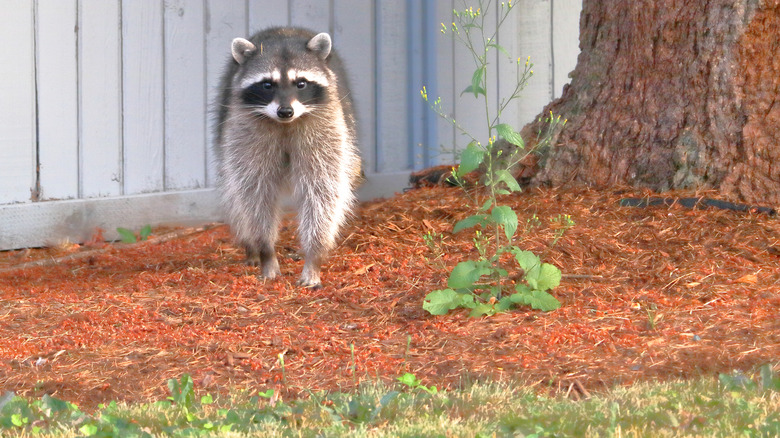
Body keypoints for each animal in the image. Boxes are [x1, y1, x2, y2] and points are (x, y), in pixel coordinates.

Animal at [213, 26, 360, 288]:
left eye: (300, 83)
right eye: (267, 84)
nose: (285, 111)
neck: (285, 124)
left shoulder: (326, 127)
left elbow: (322, 190)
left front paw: (314, 256)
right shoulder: (245, 131)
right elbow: (254, 192)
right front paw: (265, 249)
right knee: (234, 195)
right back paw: (250, 247)